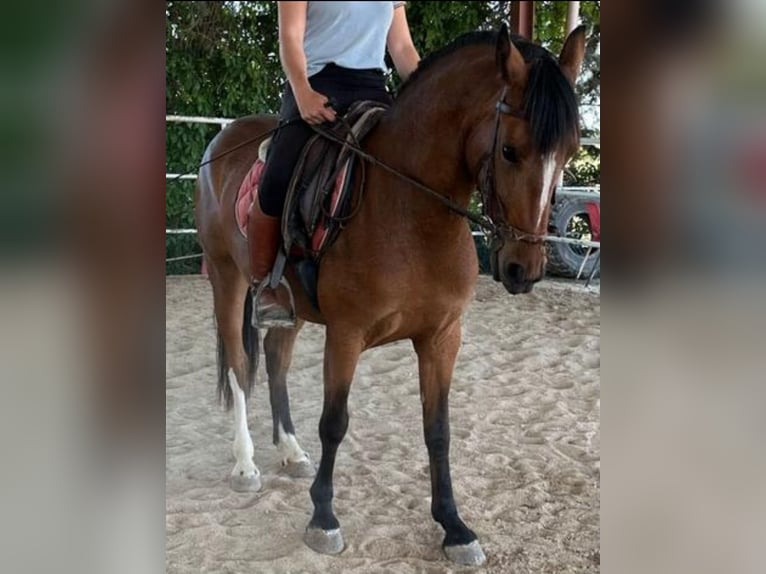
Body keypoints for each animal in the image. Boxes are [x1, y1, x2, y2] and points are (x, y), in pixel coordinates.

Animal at [194, 24, 585, 566]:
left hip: (289, 307)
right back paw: (246, 464)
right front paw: (323, 518)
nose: (522, 270)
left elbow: (438, 429)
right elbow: (335, 422)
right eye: (510, 151)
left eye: (569, 153)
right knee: (238, 364)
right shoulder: (347, 334)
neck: (410, 209)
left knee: (275, 361)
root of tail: (223, 138)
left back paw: (290, 451)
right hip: (227, 279)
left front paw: (454, 526)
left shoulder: (443, 337)